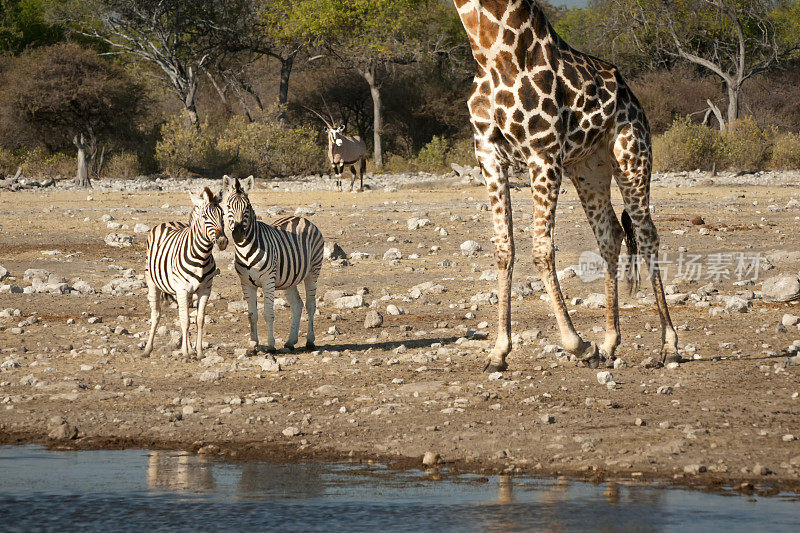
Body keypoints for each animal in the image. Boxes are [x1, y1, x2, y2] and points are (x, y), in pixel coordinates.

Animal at [141, 187, 225, 358]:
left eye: (223, 215)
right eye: (205, 216)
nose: (222, 241)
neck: (202, 257)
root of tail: (167, 222)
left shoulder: (205, 289)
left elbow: (199, 320)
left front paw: (198, 352)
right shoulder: (181, 288)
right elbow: (185, 321)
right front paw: (186, 353)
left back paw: (190, 349)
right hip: (153, 283)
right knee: (156, 315)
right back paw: (148, 349)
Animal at [220, 175, 324, 354]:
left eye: (247, 207)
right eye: (228, 206)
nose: (238, 234)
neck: (245, 249)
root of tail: (301, 218)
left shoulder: (268, 280)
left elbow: (268, 314)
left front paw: (270, 345)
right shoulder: (246, 283)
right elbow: (252, 315)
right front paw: (253, 344)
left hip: (313, 271)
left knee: (311, 305)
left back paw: (310, 341)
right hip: (290, 278)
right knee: (297, 305)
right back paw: (290, 341)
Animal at [454, 0, 680, 372]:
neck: (490, 52)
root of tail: (635, 100)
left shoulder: (543, 153)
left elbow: (541, 250)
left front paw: (579, 345)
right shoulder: (487, 156)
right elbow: (504, 250)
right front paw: (498, 353)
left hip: (632, 158)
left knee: (647, 235)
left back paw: (669, 347)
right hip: (589, 170)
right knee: (610, 235)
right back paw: (610, 344)